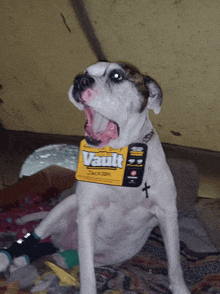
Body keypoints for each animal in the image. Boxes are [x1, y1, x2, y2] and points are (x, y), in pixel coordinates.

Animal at [0, 62, 189, 294]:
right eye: (86, 72)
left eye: (117, 76)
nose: (80, 81)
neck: (119, 155)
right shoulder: (88, 214)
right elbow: (87, 274)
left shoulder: (167, 214)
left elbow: (174, 263)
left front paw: (180, 288)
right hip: (66, 206)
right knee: (34, 237)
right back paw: (7, 257)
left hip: (116, 254)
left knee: (55, 250)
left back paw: (42, 260)